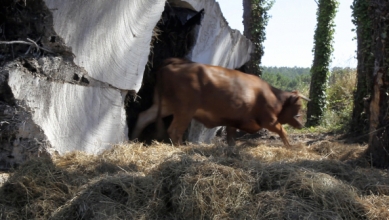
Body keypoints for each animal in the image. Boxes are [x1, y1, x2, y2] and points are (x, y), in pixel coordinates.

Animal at [132, 58, 310, 147]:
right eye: (299, 106)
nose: (302, 123)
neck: (271, 95)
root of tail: (176, 62)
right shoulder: (269, 120)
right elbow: (282, 130)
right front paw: (290, 146)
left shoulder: (233, 120)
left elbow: (231, 137)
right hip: (185, 109)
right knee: (175, 130)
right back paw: (181, 148)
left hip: (165, 105)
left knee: (143, 117)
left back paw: (133, 139)